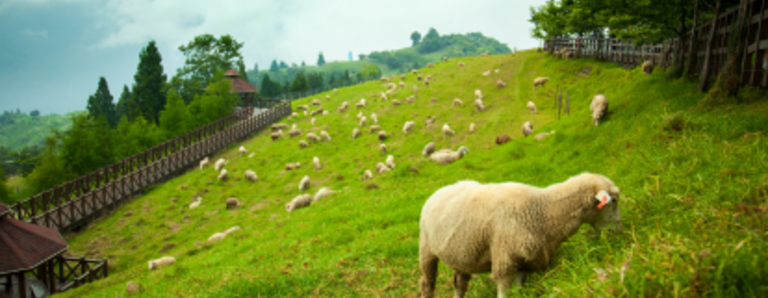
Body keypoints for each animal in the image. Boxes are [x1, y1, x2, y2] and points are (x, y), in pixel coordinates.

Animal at [416, 172, 620, 298]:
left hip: (461, 252)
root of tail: (439, 190)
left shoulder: (526, 261)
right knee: (427, 283)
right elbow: (503, 291)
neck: (544, 210)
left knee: (460, 283)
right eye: (614, 201)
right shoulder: (504, 260)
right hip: (426, 249)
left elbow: (519, 289)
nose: (618, 231)